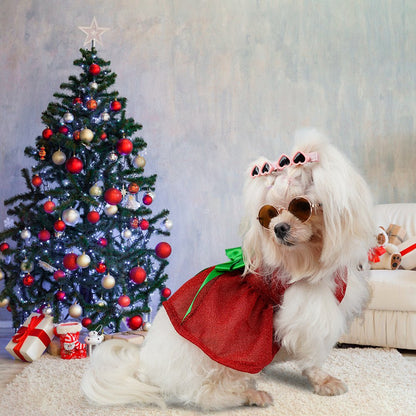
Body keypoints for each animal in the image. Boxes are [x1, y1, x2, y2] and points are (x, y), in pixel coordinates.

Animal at [81, 130, 374, 410]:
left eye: (301, 206)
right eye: (270, 213)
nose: (278, 228)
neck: (307, 259)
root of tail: (147, 367)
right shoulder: (307, 317)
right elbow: (313, 357)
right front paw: (324, 381)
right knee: (205, 394)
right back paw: (250, 395)